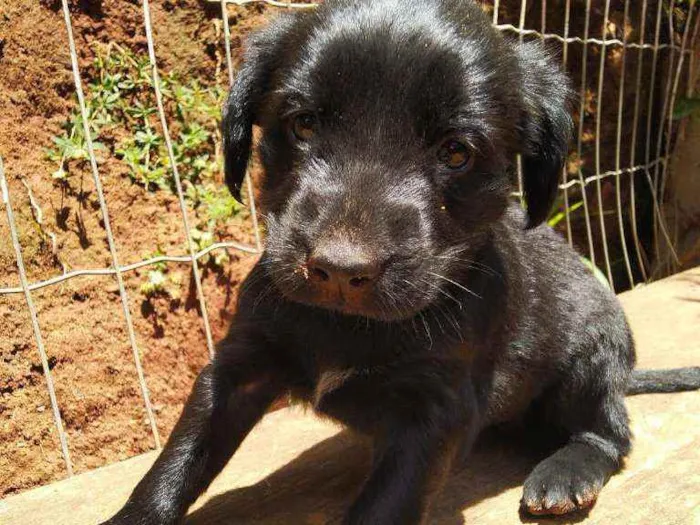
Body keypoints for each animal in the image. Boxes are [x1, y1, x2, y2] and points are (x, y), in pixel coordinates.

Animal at [105, 2, 700, 520]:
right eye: (303, 124)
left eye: (456, 151)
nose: (340, 270)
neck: (345, 324)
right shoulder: (240, 365)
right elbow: (177, 461)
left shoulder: (432, 412)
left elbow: (383, 505)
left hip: (591, 361)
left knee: (609, 432)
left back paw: (565, 474)